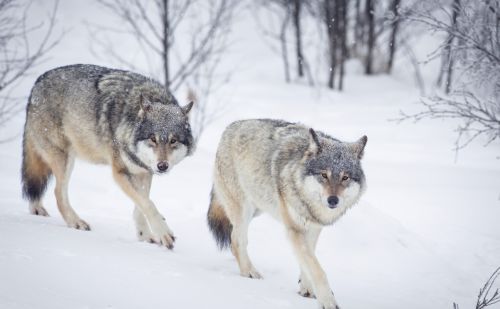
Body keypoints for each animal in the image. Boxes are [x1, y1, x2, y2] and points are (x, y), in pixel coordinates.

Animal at [21, 63, 194, 249]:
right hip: (64, 159)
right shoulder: (120, 172)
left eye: (173, 140)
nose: (162, 166)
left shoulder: (144, 172)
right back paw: (76, 222)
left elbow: (141, 205)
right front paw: (163, 232)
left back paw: (37, 210)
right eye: (153, 139)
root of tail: (37, 83)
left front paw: (145, 236)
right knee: (58, 193)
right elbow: (148, 204)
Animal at [207, 118, 368, 308]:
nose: (333, 201)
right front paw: (328, 301)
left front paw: (306, 288)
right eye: (324, 175)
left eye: (345, 177)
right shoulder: (295, 229)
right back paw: (249, 272)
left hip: (258, 207)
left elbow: (308, 260)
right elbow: (317, 269)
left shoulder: (312, 228)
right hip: (243, 210)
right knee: (237, 241)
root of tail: (231, 125)